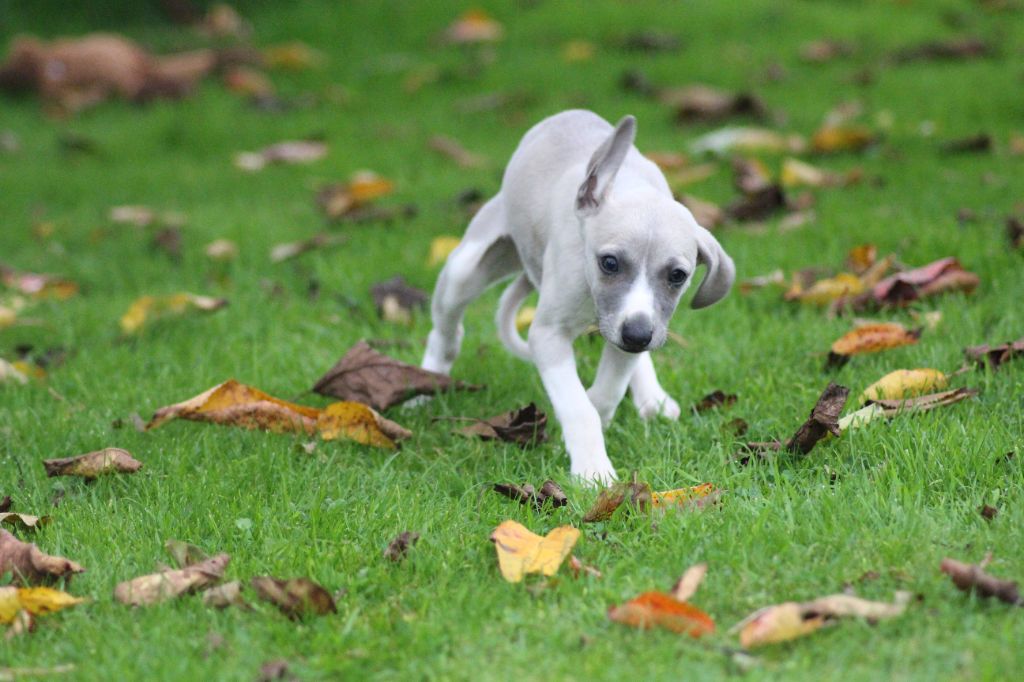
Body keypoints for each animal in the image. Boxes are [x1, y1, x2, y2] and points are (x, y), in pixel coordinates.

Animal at [419, 111, 733, 481]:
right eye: (609, 263)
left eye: (677, 276)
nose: (638, 335)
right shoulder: (548, 335)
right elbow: (578, 407)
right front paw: (593, 471)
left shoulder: (630, 330)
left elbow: (608, 390)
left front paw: (598, 411)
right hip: (467, 268)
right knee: (446, 331)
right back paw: (425, 386)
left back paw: (652, 398)